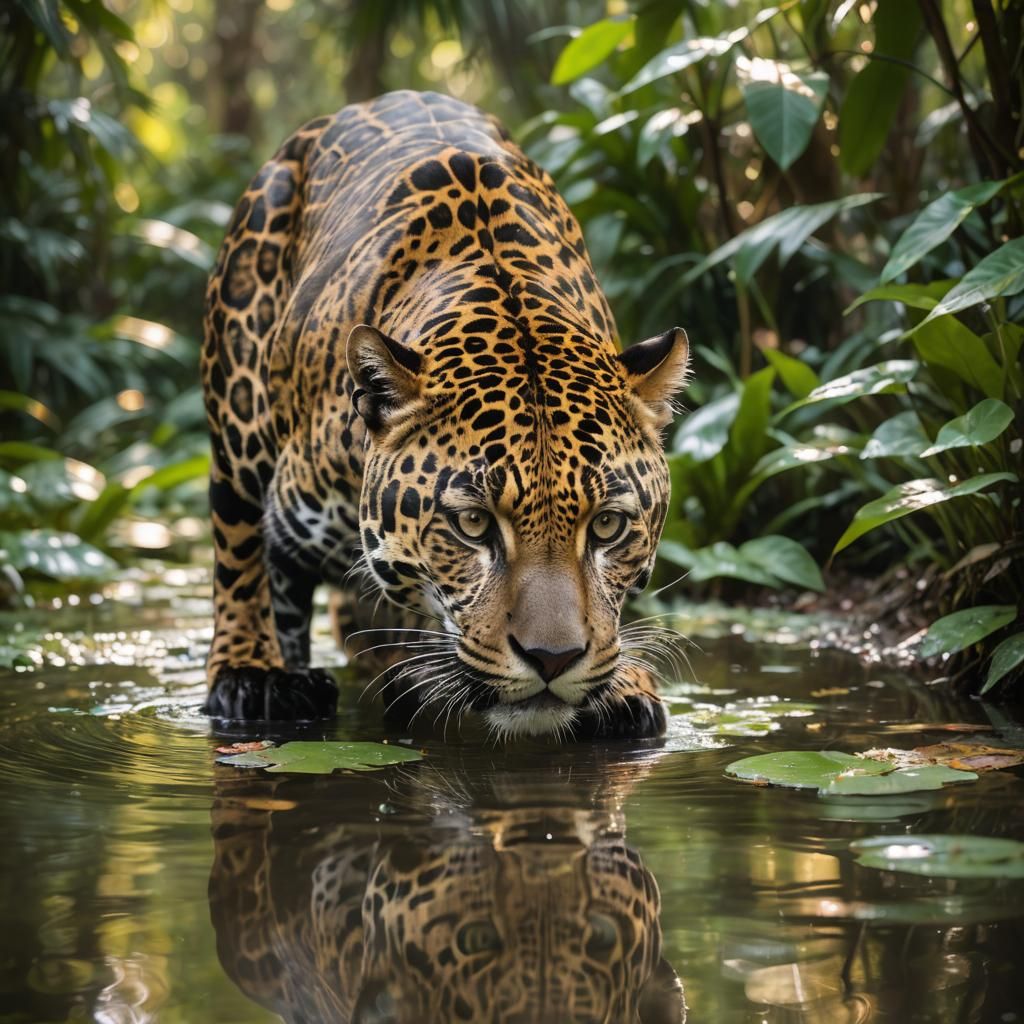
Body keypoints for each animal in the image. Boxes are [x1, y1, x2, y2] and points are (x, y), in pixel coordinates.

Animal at [200, 90, 690, 738]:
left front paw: (623, 683)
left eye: (608, 525)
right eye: (473, 525)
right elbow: (244, 557)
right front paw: (249, 674)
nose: (552, 658)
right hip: (240, 408)